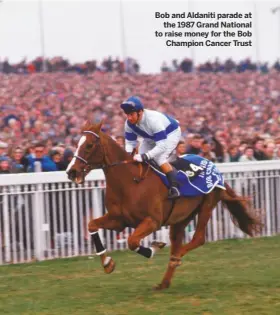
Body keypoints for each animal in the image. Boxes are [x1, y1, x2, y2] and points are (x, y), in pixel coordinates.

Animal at [66, 122, 262, 290]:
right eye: (77, 144)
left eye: (89, 145)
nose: (71, 171)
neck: (130, 181)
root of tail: (214, 167)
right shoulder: (118, 220)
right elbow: (91, 225)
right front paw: (107, 263)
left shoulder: (153, 221)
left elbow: (132, 241)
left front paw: (154, 248)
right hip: (181, 219)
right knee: (179, 240)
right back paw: (164, 282)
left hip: (207, 204)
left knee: (198, 239)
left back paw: (176, 257)